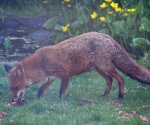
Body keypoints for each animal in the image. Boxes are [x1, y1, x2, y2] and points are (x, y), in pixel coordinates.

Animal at [3, 31, 150, 104]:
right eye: (11, 88)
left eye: (16, 88)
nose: (12, 100)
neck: (41, 63)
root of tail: (107, 36)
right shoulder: (50, 78)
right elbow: (40, 90)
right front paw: (37, 100)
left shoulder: (65, 75)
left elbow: (61, 92)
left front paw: (60, 102)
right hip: (100, 69)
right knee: (110, 80)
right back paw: (104, 95)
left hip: (105, 67)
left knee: (120, 79)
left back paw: (120, 96)